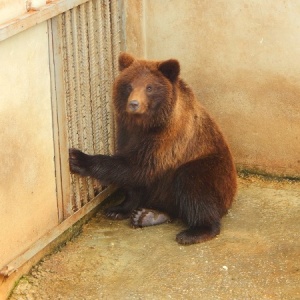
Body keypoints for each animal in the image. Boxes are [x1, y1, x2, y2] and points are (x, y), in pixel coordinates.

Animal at [69, 52, 237, 245]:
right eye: (129, 85)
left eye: (149, 87)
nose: (134, 104)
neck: (145, 124)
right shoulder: (126, 132)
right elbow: (133, 181)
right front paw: (118, 209)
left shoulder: (167, 139)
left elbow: (138, 166)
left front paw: (78, 158)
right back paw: (147, 215)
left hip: (212, 169)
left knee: (192, 183)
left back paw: (194, 232)